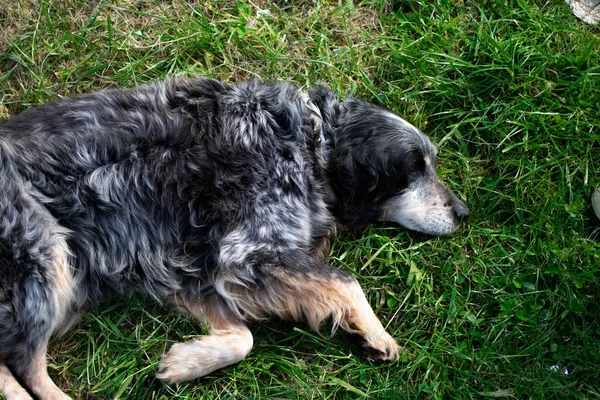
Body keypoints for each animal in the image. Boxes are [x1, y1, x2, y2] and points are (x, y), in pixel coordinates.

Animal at [0, 78, 468, 400]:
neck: (307, 143)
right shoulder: (245, 252)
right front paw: (377, 334)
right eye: (414, 167)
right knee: (26, 365)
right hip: (44, 253)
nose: (463, 213)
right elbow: (345, 281)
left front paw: (186, 361)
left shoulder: (193, 273)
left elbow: (243, 337)